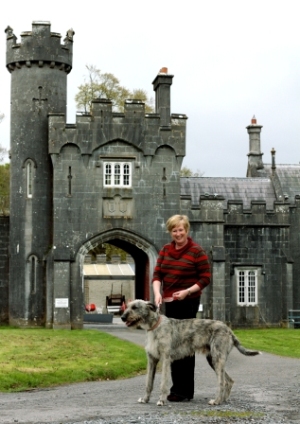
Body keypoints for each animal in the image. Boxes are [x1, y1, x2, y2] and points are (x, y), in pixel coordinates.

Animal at [120, 300, 258, 406]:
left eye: (135, 307)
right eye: (128, 306)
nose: (122, 317)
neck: (155, 326)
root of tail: (229, 329)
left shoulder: (165, 359)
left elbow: (163, 383)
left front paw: (161, 401)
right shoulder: (152, 360)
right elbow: (148, 383)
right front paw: (145, 399)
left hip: (217, 359)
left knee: (222, 382)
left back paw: (216, 401)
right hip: (213, 360)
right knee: (228, 381)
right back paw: (222, 400)